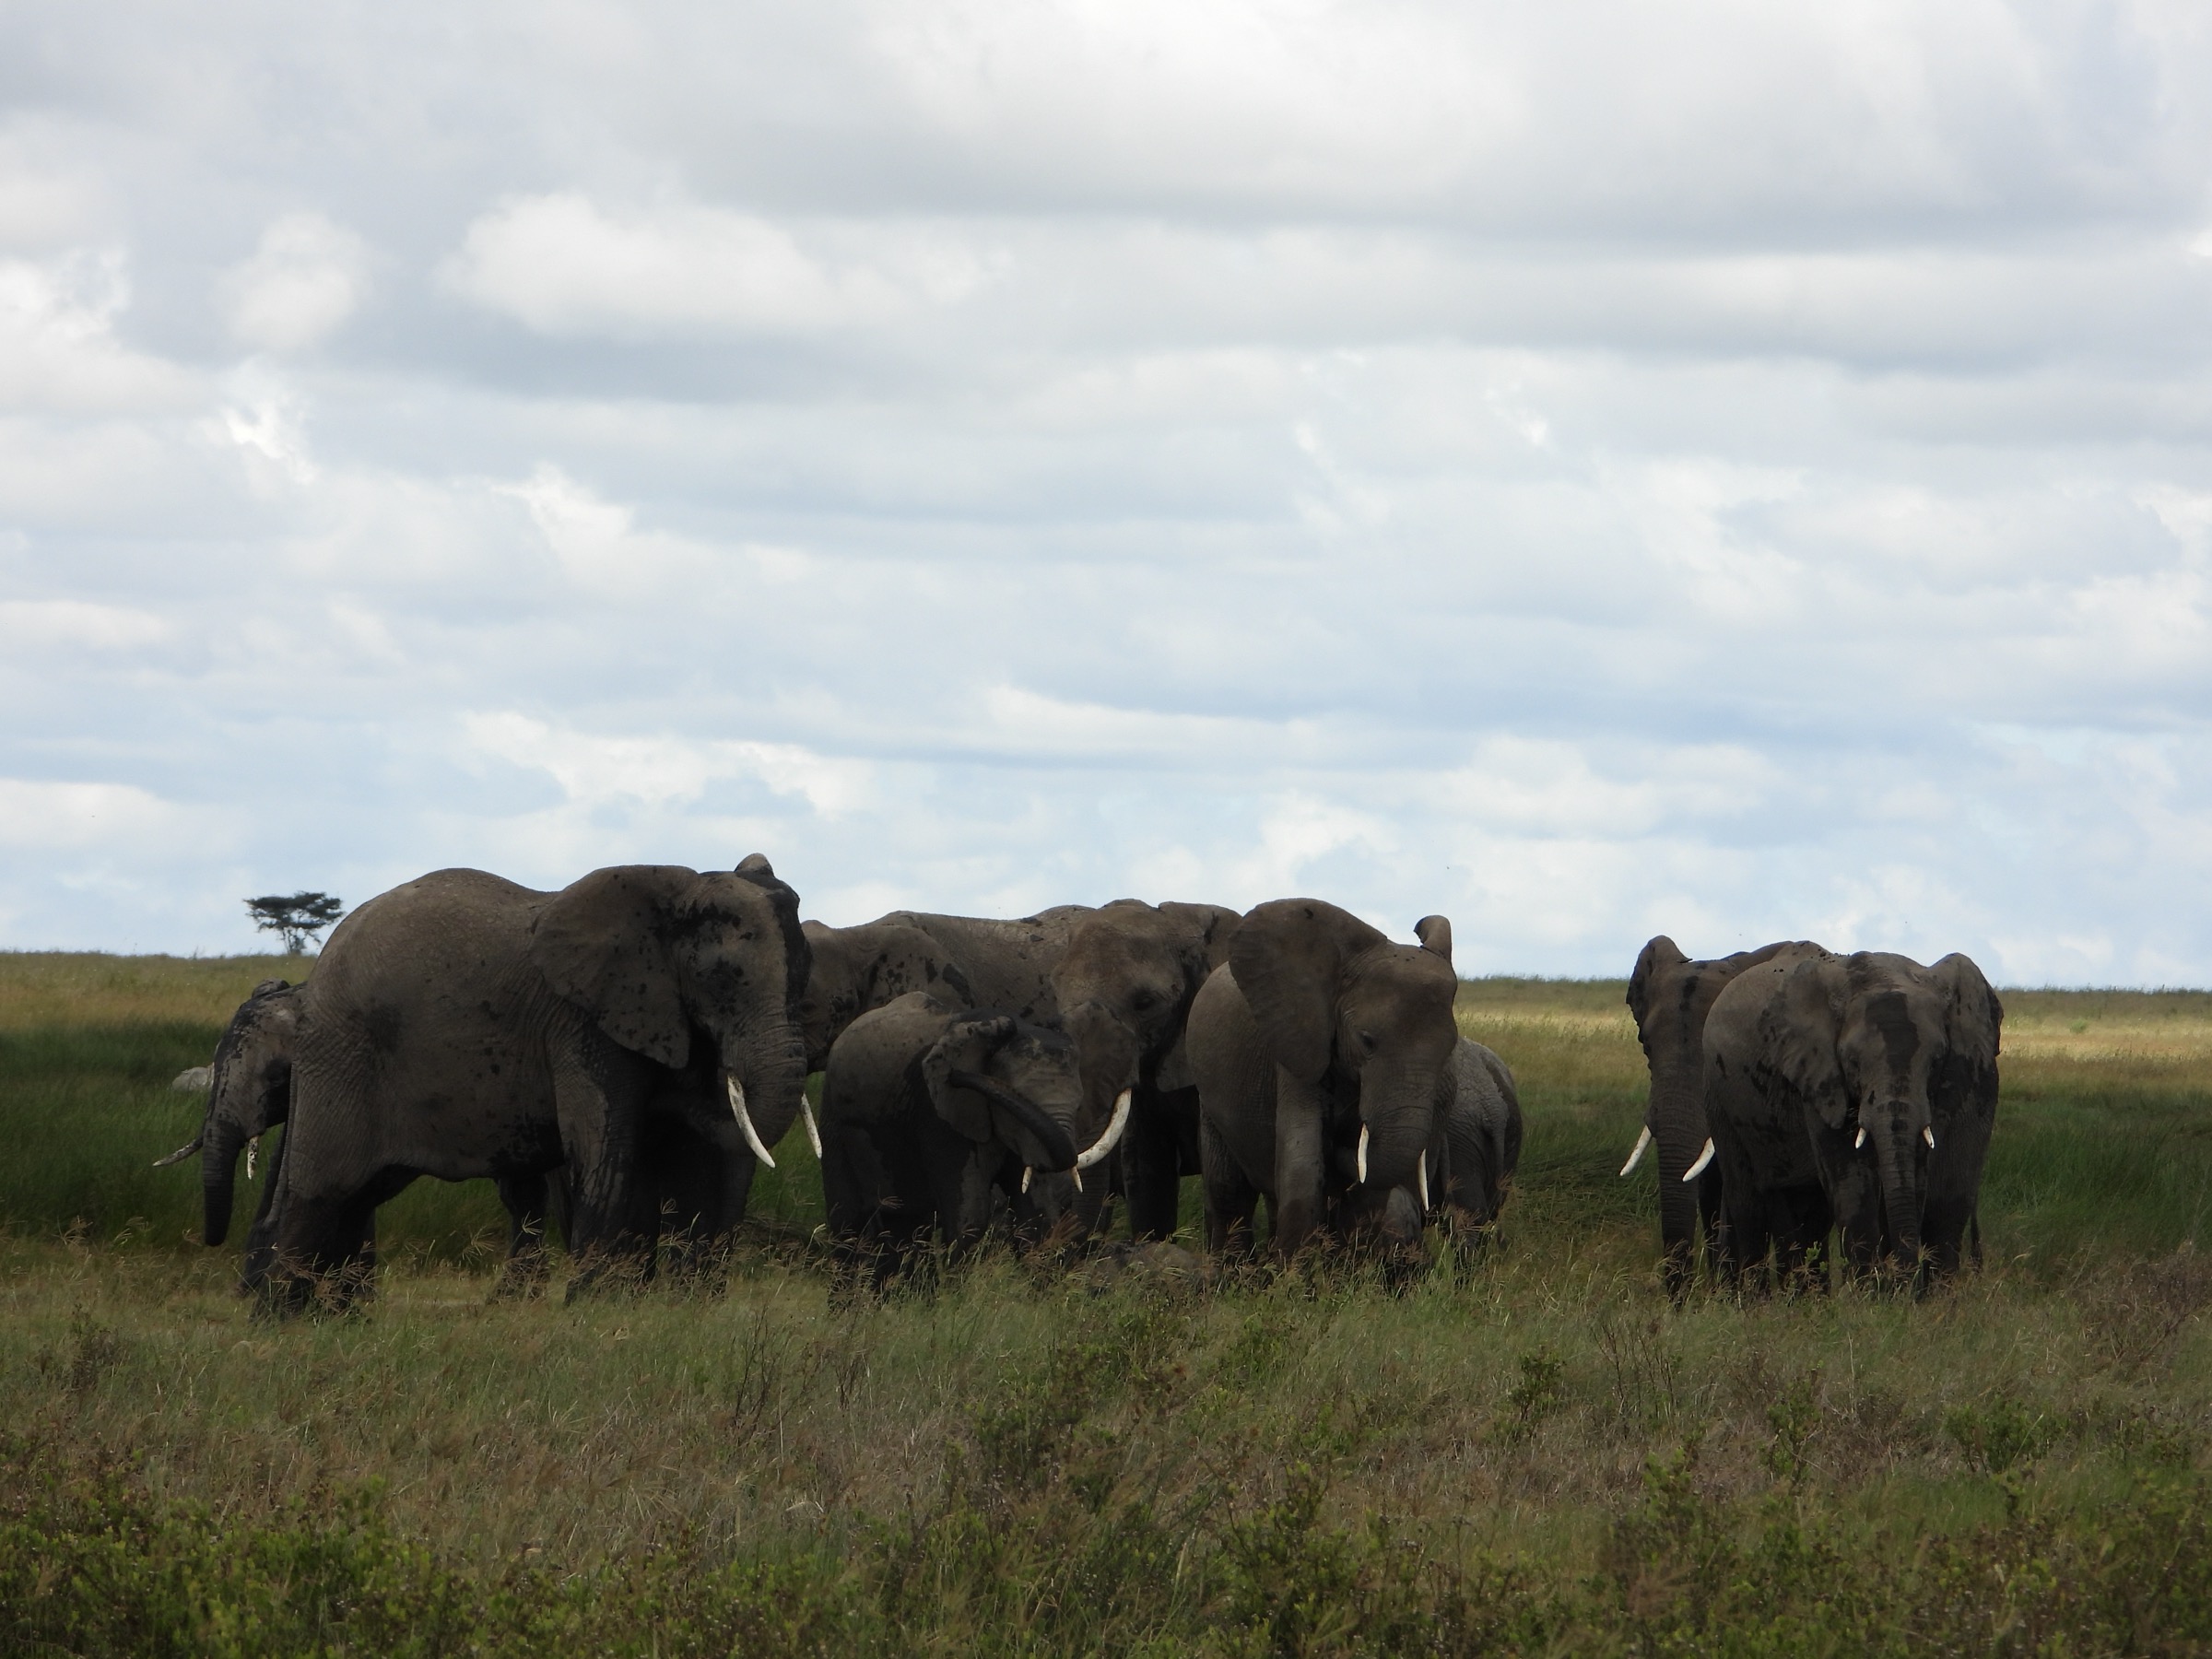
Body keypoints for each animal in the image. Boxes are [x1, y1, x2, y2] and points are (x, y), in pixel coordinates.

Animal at [246, 858, 809, 1309]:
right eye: (725, 978)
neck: (675, 894)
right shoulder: (582, 1023)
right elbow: (606, 1148)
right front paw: (593, 1308)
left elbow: (681, 1153)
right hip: (343, 1053)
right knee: (324, 1190)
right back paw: (282, 1320)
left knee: (357, 1197)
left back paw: (330, 1319)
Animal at [818, 991, 1111, 1281]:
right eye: (1015, 1101)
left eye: (1079, 1107)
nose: (956, 1075)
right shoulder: (939, 1116)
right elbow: (971, 1215)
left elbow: (1036, 1211)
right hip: (833, 1118)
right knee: (849, 1220)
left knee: (906, 1223)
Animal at [1188, 900, 1460, 1258]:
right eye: (1366, 1041)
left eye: (1450, 1048)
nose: (1340, 1140)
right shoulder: (1298, 1045)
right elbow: (1303, 1165)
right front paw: (1295, 1273)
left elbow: (1371, 1186)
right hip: (1209, 1094)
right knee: (1227, 1190)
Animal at [1702, 948, 2002, 1291]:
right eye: (1852, 1061)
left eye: (1937, 1059)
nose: (1903, 1281)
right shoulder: (1818, 1075)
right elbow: (1851, 1177)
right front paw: (1869, 1296)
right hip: (1718, 1091)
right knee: (1747, 1198)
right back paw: (1756, 1298)